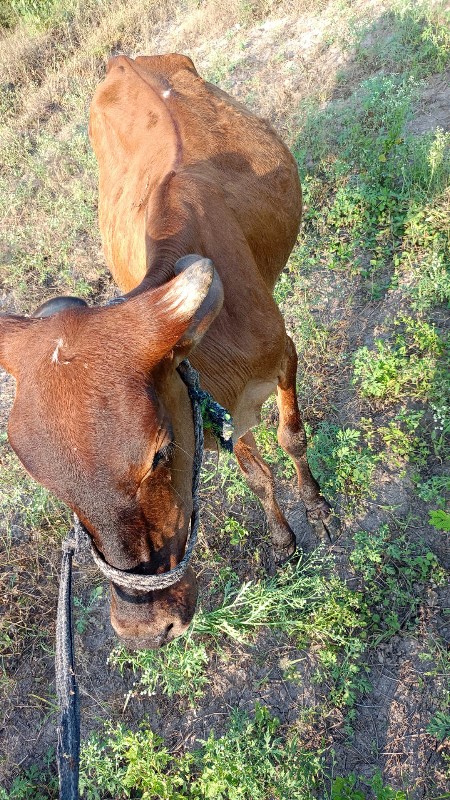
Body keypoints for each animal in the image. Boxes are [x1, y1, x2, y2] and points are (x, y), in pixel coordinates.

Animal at [0, 54, 330, 648]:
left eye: (158, 452)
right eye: (52, 488)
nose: (143, 628)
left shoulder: (283, 357)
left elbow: (292, 437)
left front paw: (315, 504)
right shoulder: (211, 412)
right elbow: (256, 475)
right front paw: (283, 540)